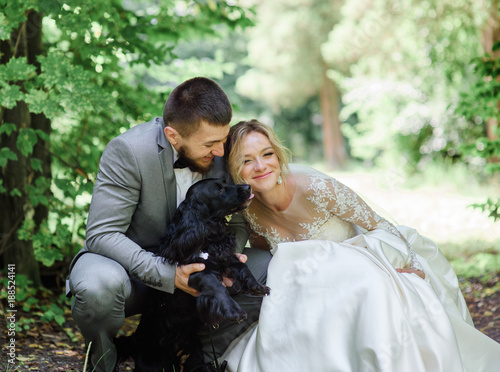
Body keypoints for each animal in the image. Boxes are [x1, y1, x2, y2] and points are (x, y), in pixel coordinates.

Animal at [114, 179, 270, 370]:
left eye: (225, 182)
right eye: (219, 190)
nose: (248, 187)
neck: (207, 236)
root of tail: (137, 338)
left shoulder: (224, 257)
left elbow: (242, 267)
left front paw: (257, 286)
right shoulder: (195, 272)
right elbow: (218, 287)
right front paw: (234, 310)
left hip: (193, 354)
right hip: (154, 362)